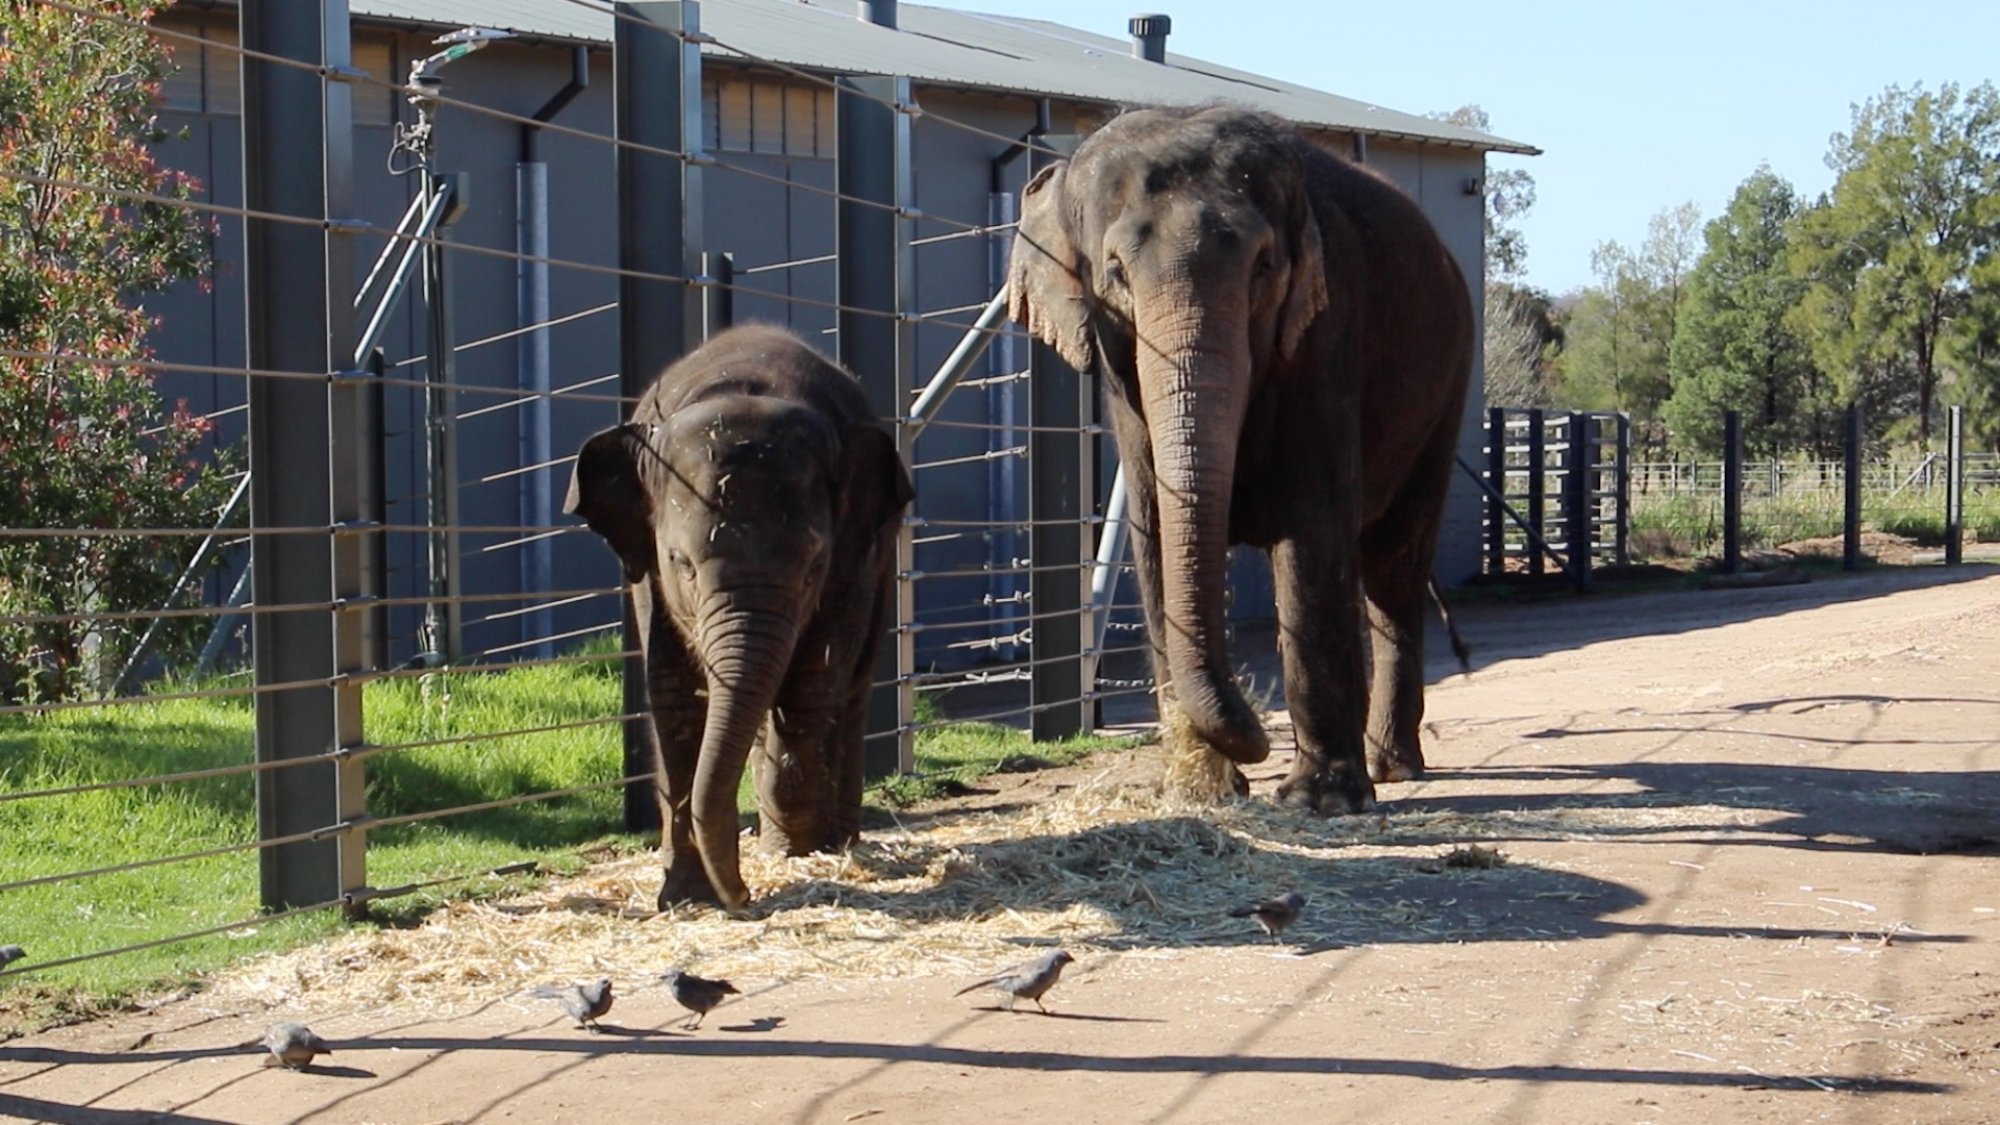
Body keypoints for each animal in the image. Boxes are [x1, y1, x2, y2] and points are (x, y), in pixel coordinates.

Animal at [560, 324, 912, 912]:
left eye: (814, 566)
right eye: (681, 563)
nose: (745, 895)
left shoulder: (853, 556)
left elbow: (815, 678)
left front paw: (797, 852)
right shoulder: (646, 570)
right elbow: (673, 693)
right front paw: (687, 898)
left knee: (851, 685)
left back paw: (831, 841)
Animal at [1008, 105, 1480, 808]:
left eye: (1263, 266)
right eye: (1114, 272)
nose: (1259, 734)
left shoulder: (1327, 330)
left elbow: (1312, 532)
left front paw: (1320, 801)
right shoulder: (1125, 383)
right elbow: (1154, 538)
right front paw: (1201, 791)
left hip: (1446, 387)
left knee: (1393, 565)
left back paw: (1393, 768)